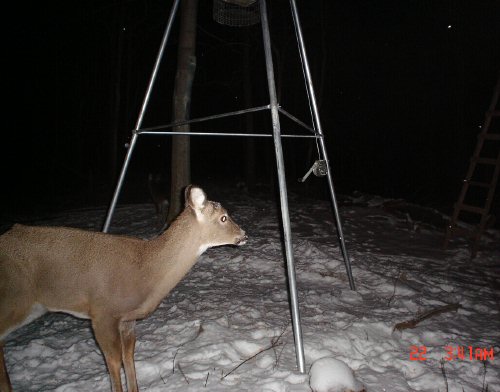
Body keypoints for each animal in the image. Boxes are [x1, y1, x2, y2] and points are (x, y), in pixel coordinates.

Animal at [0, 185, 246, 392]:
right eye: (223, 218)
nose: (244, 234)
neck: (144, 271)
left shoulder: (128, 319)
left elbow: (128, 356)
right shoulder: (103, 313)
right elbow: (113, 361)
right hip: (14, 298)